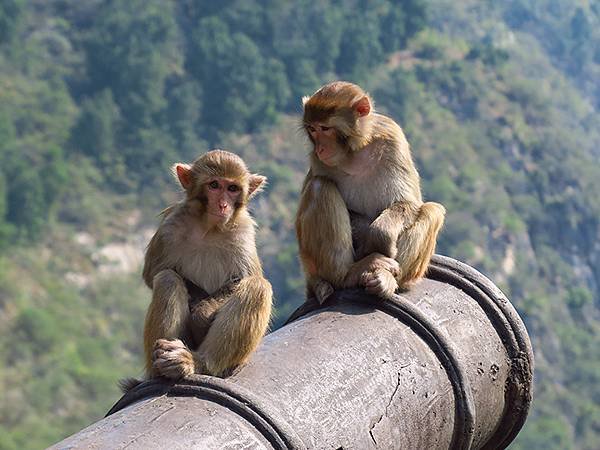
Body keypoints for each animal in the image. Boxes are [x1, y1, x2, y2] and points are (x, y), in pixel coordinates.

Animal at [139, 150, 270, 380]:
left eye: (233, 188)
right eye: (214, 185)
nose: (223, 205)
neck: (209, 228)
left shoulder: (243, 232)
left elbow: (243, 278)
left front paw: (202, 313)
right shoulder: (170, 226)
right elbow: (153, 273)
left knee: (258, 287)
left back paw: (197, 362)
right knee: (167, 279)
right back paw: (164, 365)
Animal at [296, 82, 446, 304]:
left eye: (325, 128)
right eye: (312, 129)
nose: (321, 148)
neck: (355, 152)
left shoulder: (393, 138)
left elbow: (409, 202)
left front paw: (379, 235)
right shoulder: (317, 162)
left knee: (431, 210)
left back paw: (386, 279)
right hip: (314, 268)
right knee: (320, 188)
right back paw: (348, 275)